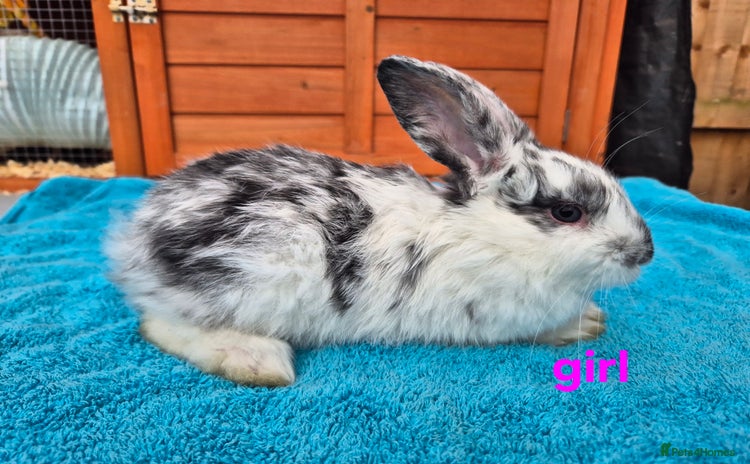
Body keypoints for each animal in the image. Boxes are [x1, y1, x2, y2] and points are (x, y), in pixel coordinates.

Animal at [106, 55, 654, 387]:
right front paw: (580, 325)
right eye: (568, 212)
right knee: (160, 324)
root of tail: (134, 238)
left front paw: (591, 319)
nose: (644, 252)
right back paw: (258, 362)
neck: (491, 235)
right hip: (248, 281)